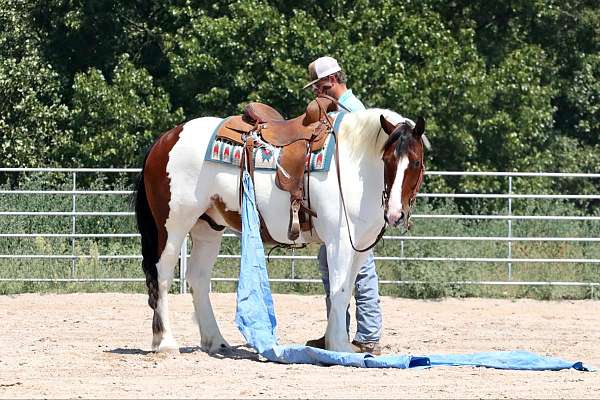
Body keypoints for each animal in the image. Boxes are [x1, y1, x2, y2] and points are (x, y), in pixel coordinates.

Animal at [135, 104, 426, 354]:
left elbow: (347, 290)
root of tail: (166, 139)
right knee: (162, 277)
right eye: (387, 159)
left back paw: (216, 341)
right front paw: (339, 346)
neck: (353, 165)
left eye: (415, 162)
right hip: (172, 226)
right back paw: (166, 342)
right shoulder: (339, 242)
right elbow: (339, 290)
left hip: (207, 228)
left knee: (198, 279)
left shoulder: (360, 247)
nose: (395, 214)